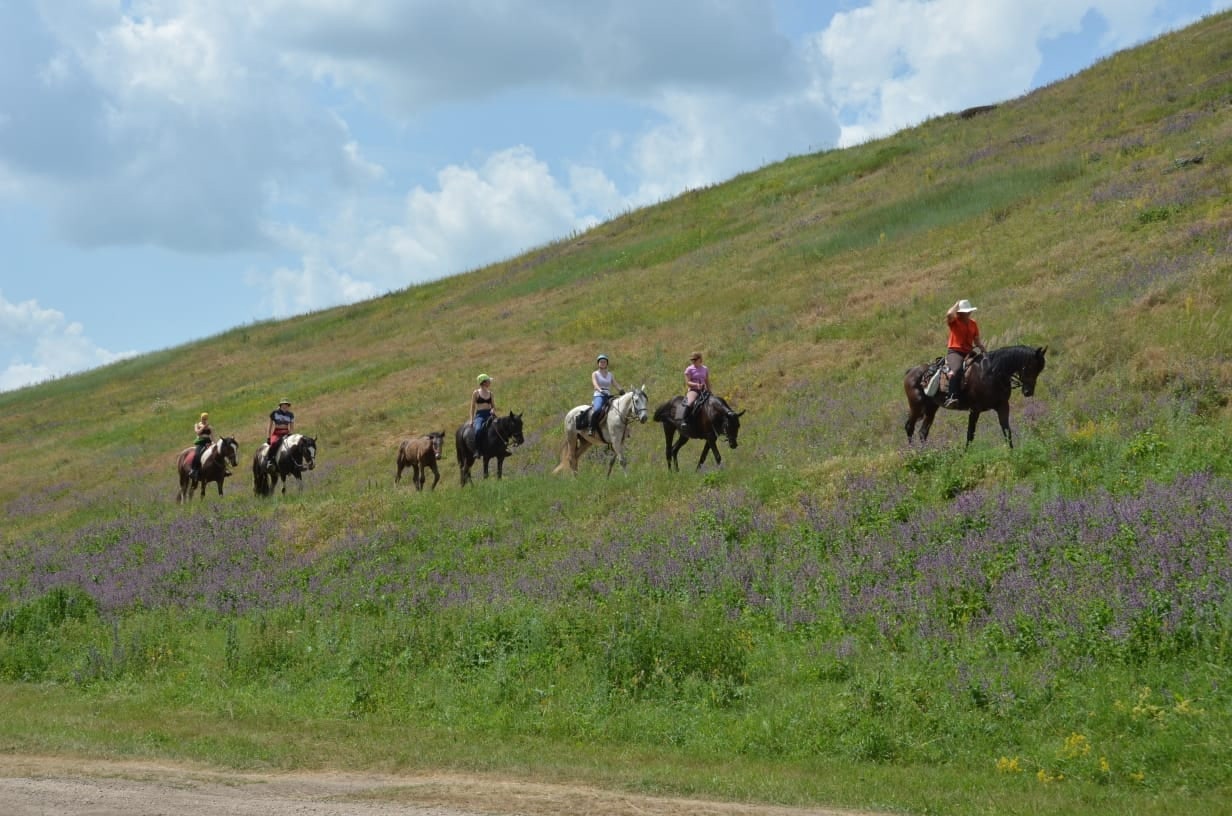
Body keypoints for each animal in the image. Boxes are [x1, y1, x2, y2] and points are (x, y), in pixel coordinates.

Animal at [906, 342, 1049, 448]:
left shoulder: (1003, 406)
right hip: (916, 407)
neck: (990, 373)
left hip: (931, 408)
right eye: (1030, 367)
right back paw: (913, 453)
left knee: (923, 432)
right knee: (909, 427)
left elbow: (1007, 431)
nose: (1028, 392)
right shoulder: (975, 410)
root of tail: (911, 371)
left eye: (1040, 369)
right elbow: (970, 435)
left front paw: (1012, 453)